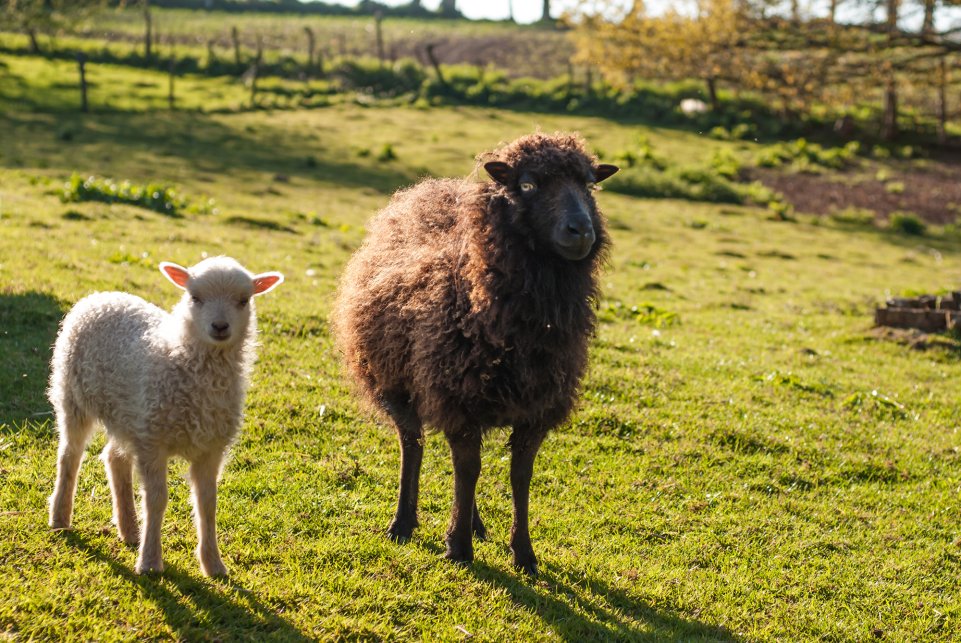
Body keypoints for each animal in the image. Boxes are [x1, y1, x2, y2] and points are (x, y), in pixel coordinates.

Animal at [47, 256, 283, 576]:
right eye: (194, 297)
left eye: (243, 300)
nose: (220, 326)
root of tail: (101, 296)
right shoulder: (153, 443)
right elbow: (157, 501)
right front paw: (149, 562)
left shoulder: (210, 448)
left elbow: (207, 503)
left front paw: (213, 564)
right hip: (73, 397)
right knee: (69, 456)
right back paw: (60, 518)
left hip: (129, 416)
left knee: (115, 458)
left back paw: (129, 530)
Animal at [333, 132, 618, 574]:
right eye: (527, 184)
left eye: (589, 184)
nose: (581, 231)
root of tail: (424, 190)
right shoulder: (457, 397)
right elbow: (468, 470)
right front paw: (458, 547)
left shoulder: (536, 409)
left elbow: (519, 475)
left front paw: (524, 553)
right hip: (393, 382)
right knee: (412, 445)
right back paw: (403, 522)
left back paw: (474, 523)